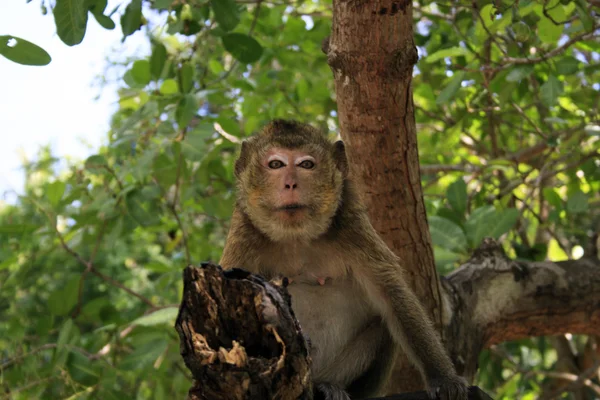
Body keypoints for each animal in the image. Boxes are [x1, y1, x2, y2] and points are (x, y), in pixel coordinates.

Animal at [220, 119, 468, 400]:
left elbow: (392, 296)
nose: (290, 184)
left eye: (306, 165)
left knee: (383, 325)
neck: (297, 237)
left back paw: (328, 386)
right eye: (275, 164)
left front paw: (443, 378)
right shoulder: (243, 237)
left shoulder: (352, 226)